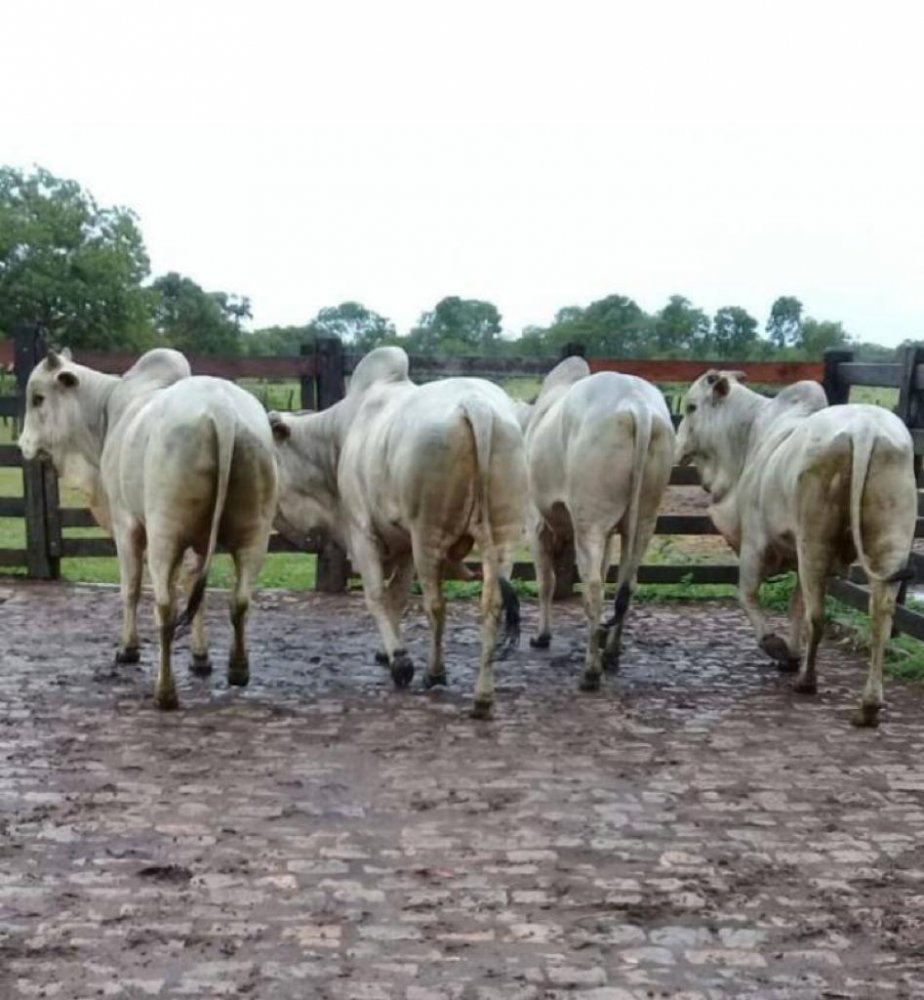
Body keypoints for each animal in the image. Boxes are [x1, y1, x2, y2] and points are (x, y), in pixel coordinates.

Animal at [19, 352, 278, 712]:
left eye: (38, 398)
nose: (22, 445)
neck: (107, 410)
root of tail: (222, 411)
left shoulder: (125, 523)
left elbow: (130, 588)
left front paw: (127, 649)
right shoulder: (197, 542)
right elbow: (192, 588)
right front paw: (200, 657)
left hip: (163, 534)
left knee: (165, 608)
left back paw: (165, 692)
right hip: (255, 532)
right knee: (239, 600)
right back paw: (238, 670)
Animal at [268, 346, 528, 720]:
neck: (338, 437)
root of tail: (475, 405)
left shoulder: (362, 532)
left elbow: (378, 595)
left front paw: (400, 660)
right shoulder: (403, 544)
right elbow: (398, 596)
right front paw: (389, 650)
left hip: (428, 534)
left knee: (436, 605)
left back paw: (435, 673)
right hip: (503, 536)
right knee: (492, 604)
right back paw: (482, 697)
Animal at [524, 352, 676, 688]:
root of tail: (638, 405)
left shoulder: (537, 524)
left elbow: (545, 583)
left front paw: (542, 636)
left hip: (589, 522)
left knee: (593, 588)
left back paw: (591, 672)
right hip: (644, 520)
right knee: (626, 585)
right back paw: (611, 654)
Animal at [676, 370, 920, 728]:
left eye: (691, 407)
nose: (677, 445)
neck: (749, 436)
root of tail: (865, 430)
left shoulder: (755, 544)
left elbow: (747, 595)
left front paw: (776, 647)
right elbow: (794, 604)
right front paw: (791, 653)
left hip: (814, 542)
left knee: (817, 616)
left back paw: (807, 681)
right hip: (890, 543)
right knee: (880, 621)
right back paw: (869, 706)